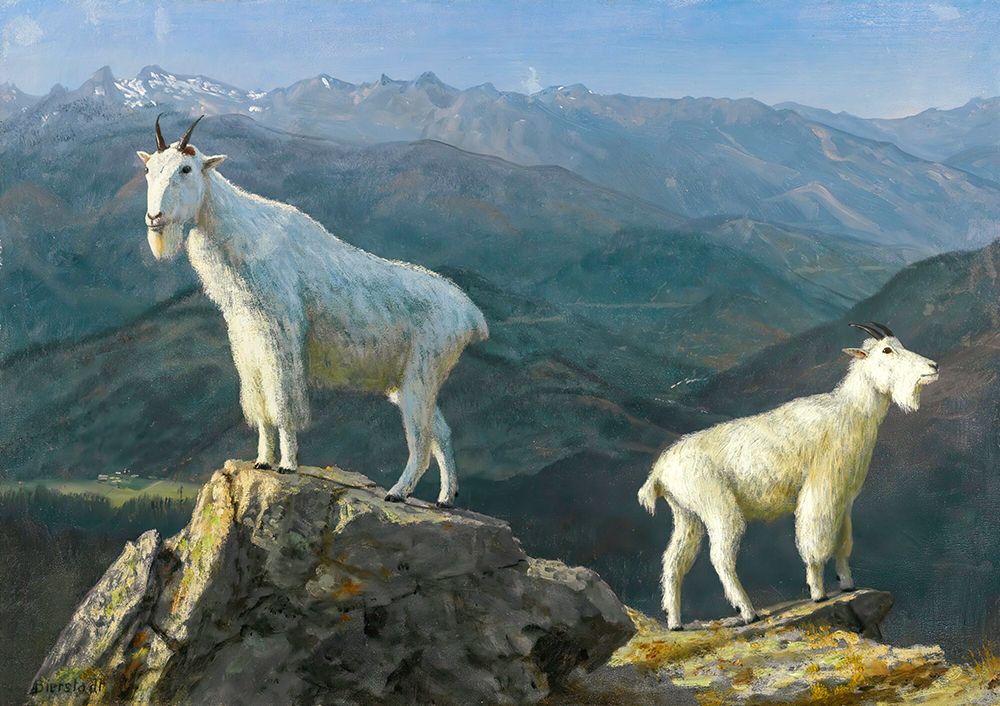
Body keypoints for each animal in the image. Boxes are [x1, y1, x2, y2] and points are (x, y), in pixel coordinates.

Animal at [137, 116, 488, 507]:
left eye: (185, 168)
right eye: (149, 169)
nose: (154, 217)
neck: (243, 236)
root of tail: (471, 315)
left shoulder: (283, 334)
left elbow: (283, 401)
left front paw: (287, 464)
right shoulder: (247, 342)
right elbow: (260, 405)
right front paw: (261, 460)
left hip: (421, 373)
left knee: (421, 438)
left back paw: (398, 492)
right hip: (410, 381)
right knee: (441, 431)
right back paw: (445, 498)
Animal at [638, 322, 938, 629]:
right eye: (887, 350)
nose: (933, 366)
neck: (850, 412)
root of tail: (659, 472)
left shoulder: (844, 498)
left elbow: (843, 543)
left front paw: (848, 584)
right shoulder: (821, 488)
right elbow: (815, 542)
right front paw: (818, 593)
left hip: (687, 515)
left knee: (673, 562)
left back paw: (675, 623)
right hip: (718, 509)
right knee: (720, 558)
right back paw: (748, 612)